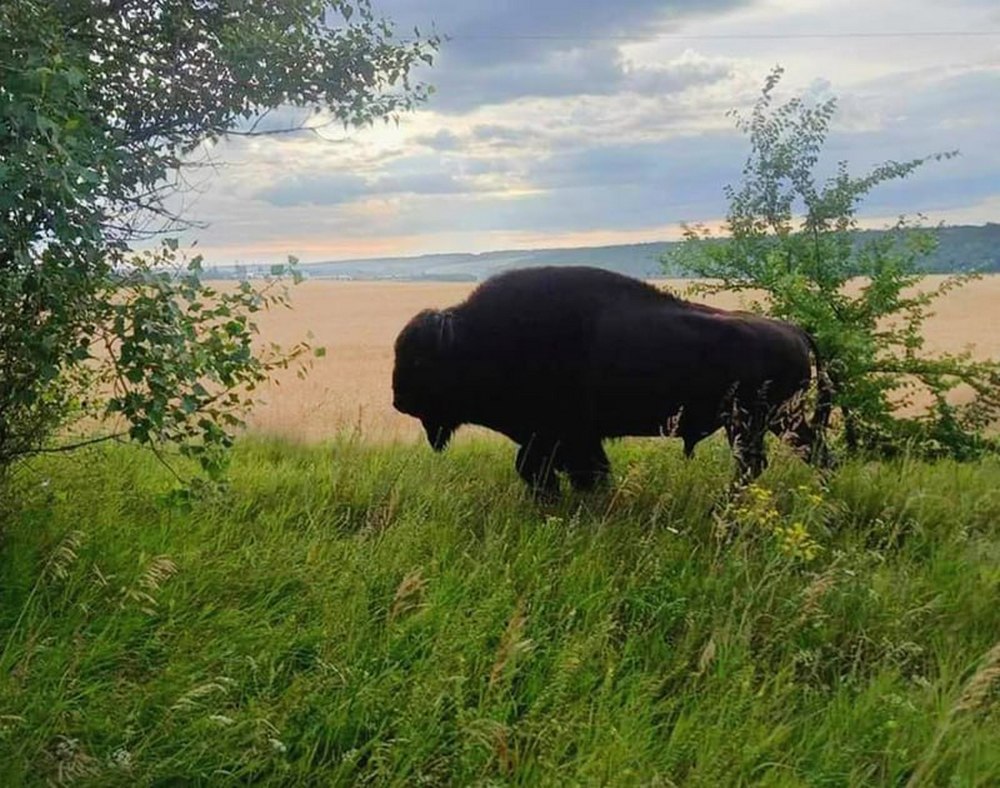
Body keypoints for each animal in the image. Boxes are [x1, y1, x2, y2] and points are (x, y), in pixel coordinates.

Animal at [394, 268, 832, 496]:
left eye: (418, 359)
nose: (398, 399)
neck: (473, 338)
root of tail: (794, 330)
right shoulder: (568, 439)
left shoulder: (557, 436)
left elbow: (547, 468)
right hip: (777, 420)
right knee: (810, 452)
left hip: (752, 423)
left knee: (754, 464)